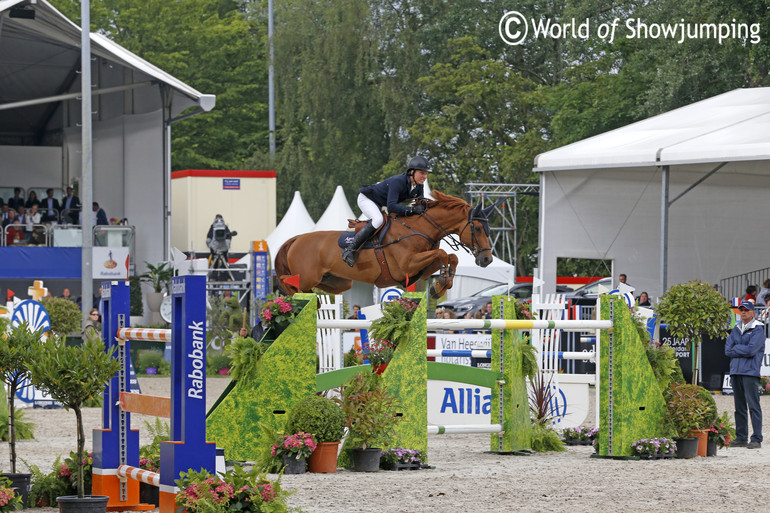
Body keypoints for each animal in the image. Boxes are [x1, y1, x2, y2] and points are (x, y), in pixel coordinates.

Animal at [272, 190, 496, 298]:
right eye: (477, 228)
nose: (486, 259)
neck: (420, 228)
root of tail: (297, 238)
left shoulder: (417, 269)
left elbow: (451, 256)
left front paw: (440, 285)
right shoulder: (407, 265)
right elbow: (442, 254)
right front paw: (441, 283)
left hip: (337, 282)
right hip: (307, 277)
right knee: (286, 279)